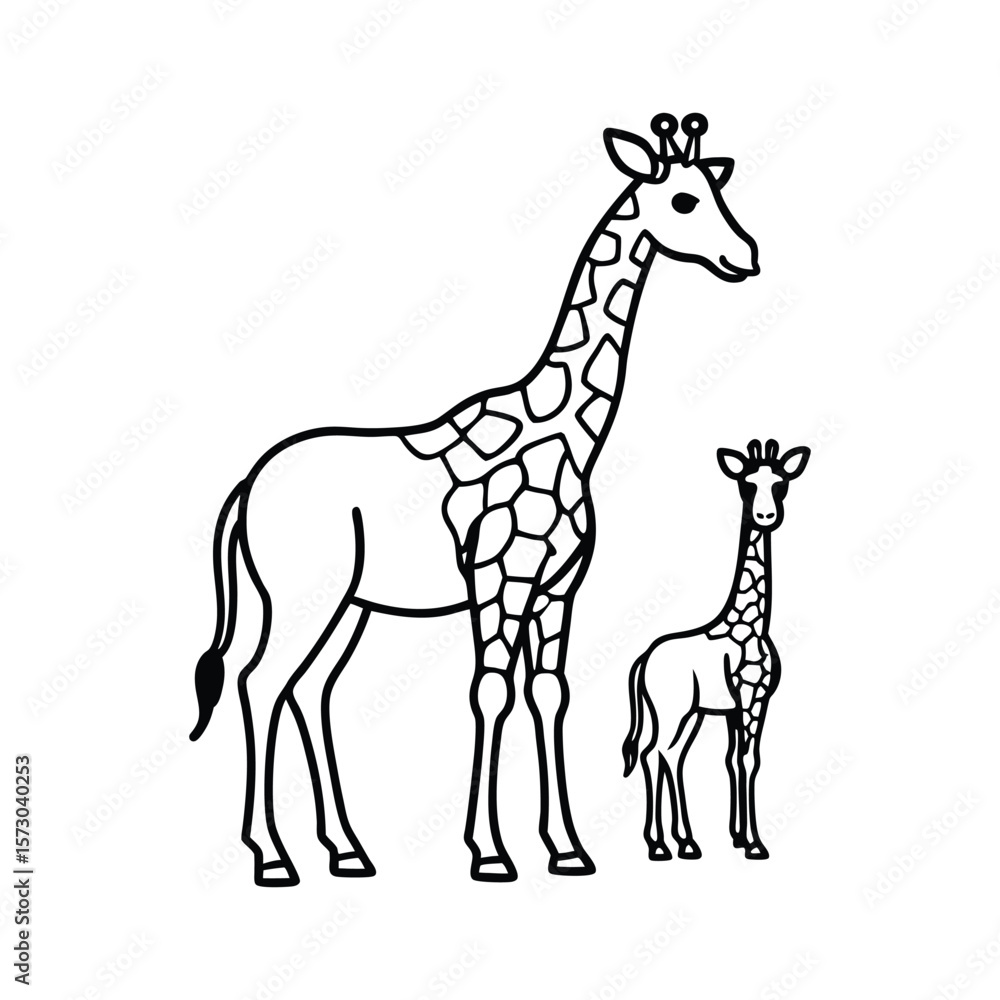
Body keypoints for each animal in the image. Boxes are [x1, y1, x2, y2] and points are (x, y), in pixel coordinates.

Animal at [189, 113, 760, 885]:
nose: (745, 255)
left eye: (713, 190)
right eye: (683, 201)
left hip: (349, 604)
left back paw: (347, 851)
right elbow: (490, 692)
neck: (566, 428)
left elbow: (549, 694)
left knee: (308, 690)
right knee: (260, 682)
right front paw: (489, 852)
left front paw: (567, 849)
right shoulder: (498, 578)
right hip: (302, 593)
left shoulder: (557, 588)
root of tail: (249, 484)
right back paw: (273, 858)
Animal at [623, 440, 810, 862]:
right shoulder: (751, 698)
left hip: (687, 713)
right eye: (747, 484)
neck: (753, 624)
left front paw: (738, 837)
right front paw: (756, 843)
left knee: (667, 754)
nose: (766, 516)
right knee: (657, 752)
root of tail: (644, 660)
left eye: (781, 483)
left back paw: (677, 842)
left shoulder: (733, 707)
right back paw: (666, 844)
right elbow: (748, 759)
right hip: (673, 709)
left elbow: (733, 761)